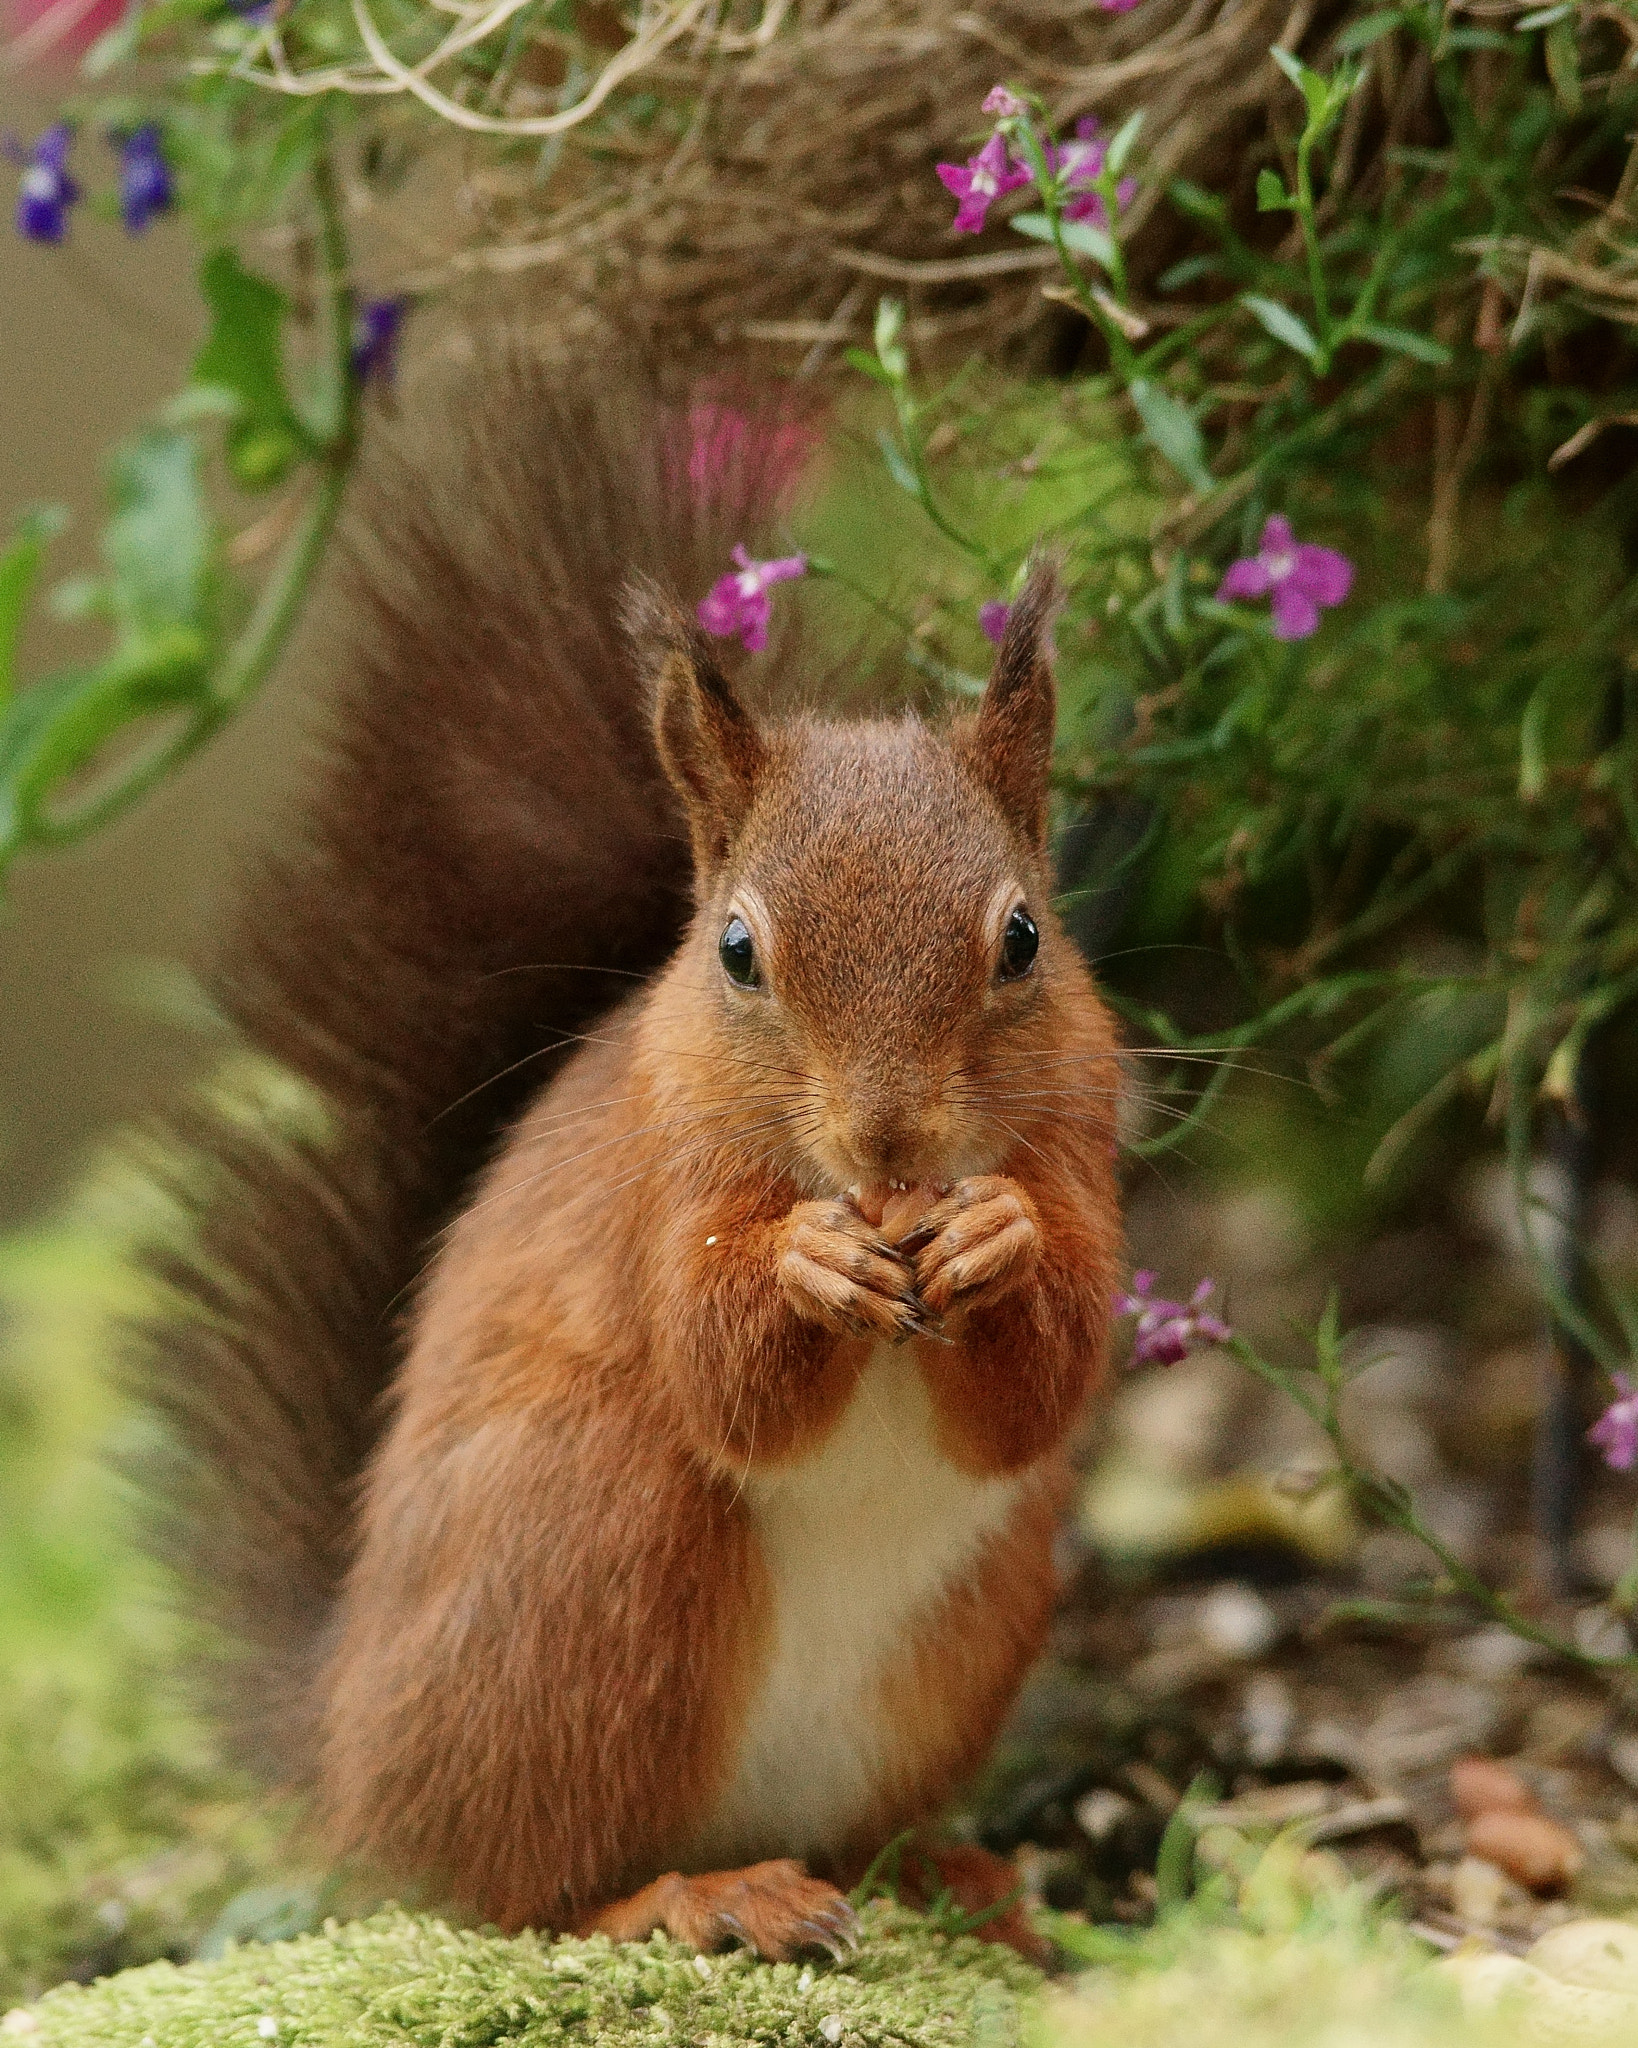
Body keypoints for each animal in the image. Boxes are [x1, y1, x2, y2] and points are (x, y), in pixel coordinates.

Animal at [141, 348, 1122, 1966]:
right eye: (735, 951)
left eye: (1025, 938)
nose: (889, 1139)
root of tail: (350, 1749)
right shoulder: (655, 1186)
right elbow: (723, 1369)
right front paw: (807, 1263)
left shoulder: (1087, 1145)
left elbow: (1040, 1389)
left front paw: (996, 1240)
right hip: (599, 1559)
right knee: (529, 1891)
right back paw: (700, 1894)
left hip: (973, 1619)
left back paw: (948, 1873)